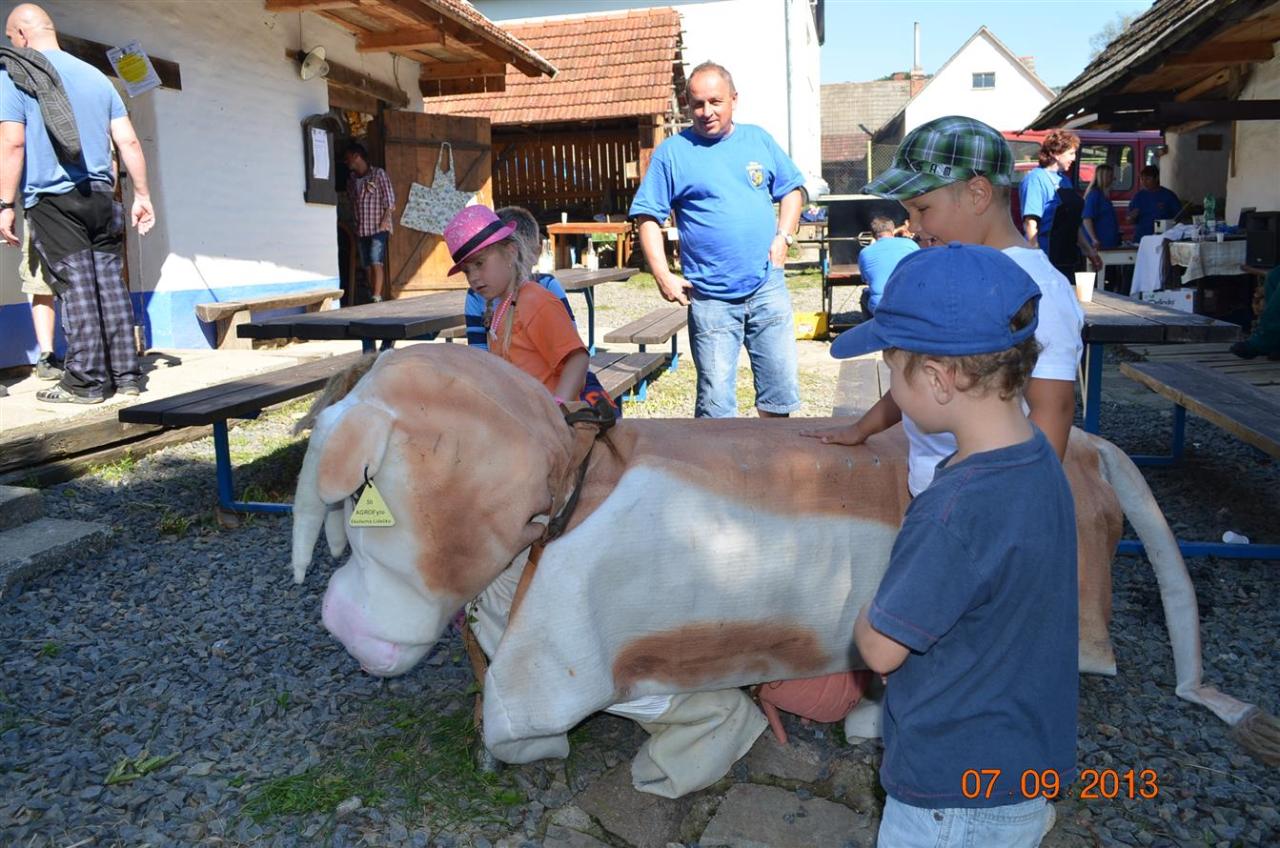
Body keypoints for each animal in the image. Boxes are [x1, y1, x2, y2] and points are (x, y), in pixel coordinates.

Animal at [290, 345, 1278, 798]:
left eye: (361, 501)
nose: (339, 627)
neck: (566, 483)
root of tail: (1084, 447)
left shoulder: (576, 661)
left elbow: (530, 728)